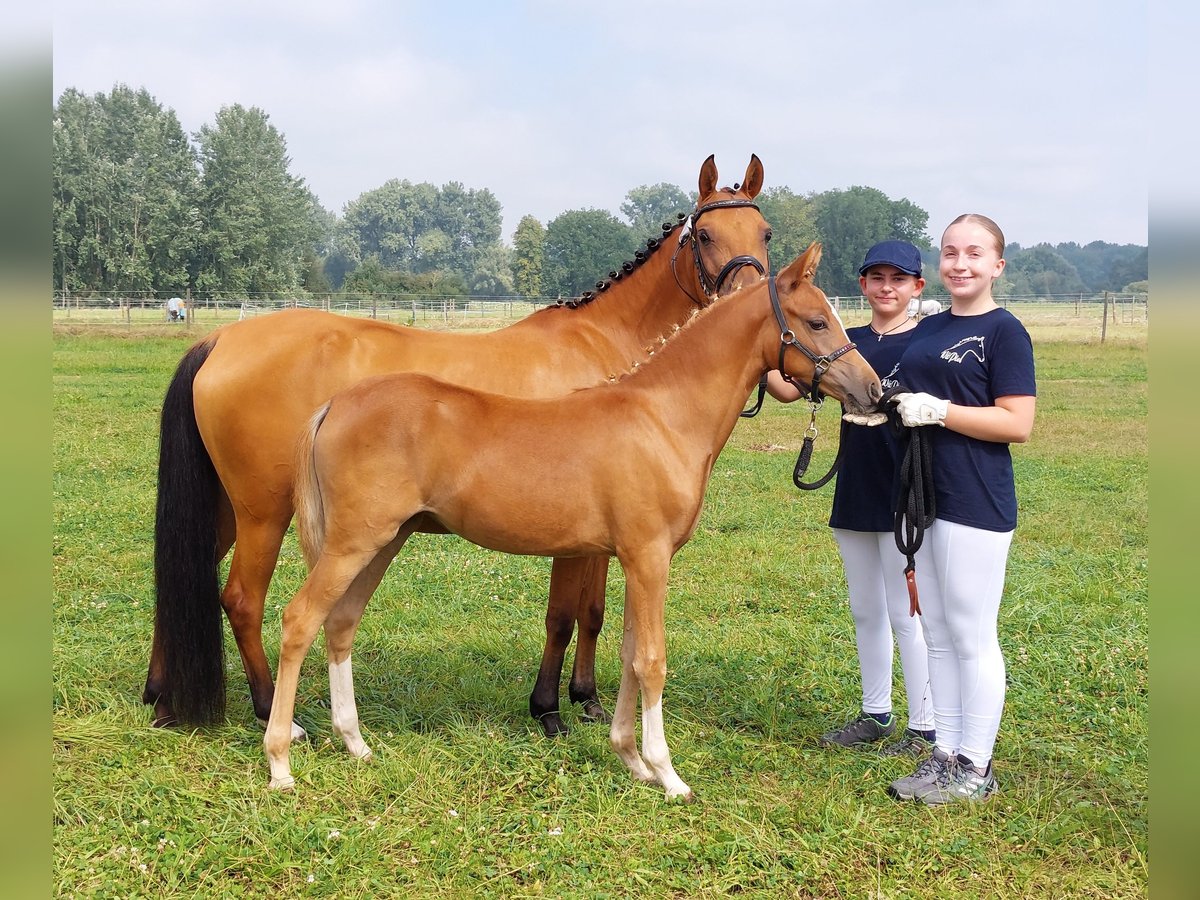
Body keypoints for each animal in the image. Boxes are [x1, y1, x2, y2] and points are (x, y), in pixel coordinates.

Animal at [145, 154, 772, 739]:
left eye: (764, 233)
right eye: (707, 235)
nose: (747, 300)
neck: (607, 350)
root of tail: (220, 338)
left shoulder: (600, 532)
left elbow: (592, 613)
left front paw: (587, 698)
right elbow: (562, 616)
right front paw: (548, 709)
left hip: (226, 509)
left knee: (182, 577)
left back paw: (161, 698)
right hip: (264, 514)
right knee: (242, 600)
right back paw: (271, 712)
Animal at [267, 243, 888, 801]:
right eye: (817, 321)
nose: (875, 390)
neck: (662, 415)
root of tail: (336, 404)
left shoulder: (636, 561)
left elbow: (628, 656)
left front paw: (632, 760)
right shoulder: (649, 558)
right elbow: (651, 661)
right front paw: (668, 775)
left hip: (383, 543)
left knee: (341, 623)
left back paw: (356, 743)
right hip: (353, 542)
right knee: (299, 620)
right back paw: (280, 763)